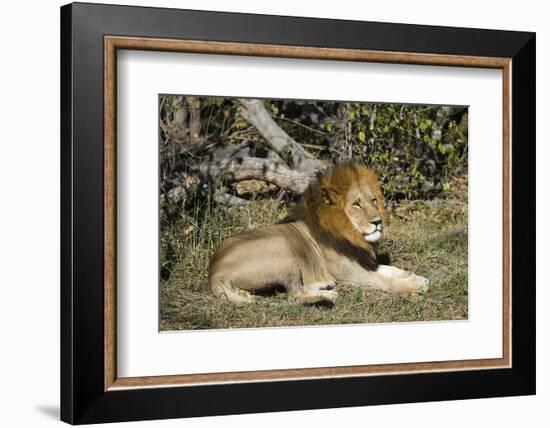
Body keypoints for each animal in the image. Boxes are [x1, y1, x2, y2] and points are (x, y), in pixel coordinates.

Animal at [209, 161, 430, 304]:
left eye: (373, 201)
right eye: (357, 204)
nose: (378, 222)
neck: (351, 234)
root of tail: (214, 270)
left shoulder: (363, 262)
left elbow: (391, 270)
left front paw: (416, 277)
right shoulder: (351, 272)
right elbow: (385, 280)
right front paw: (412, 287)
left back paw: (325, 286)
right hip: (283, 248)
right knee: (294, 296)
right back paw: (328, 295)